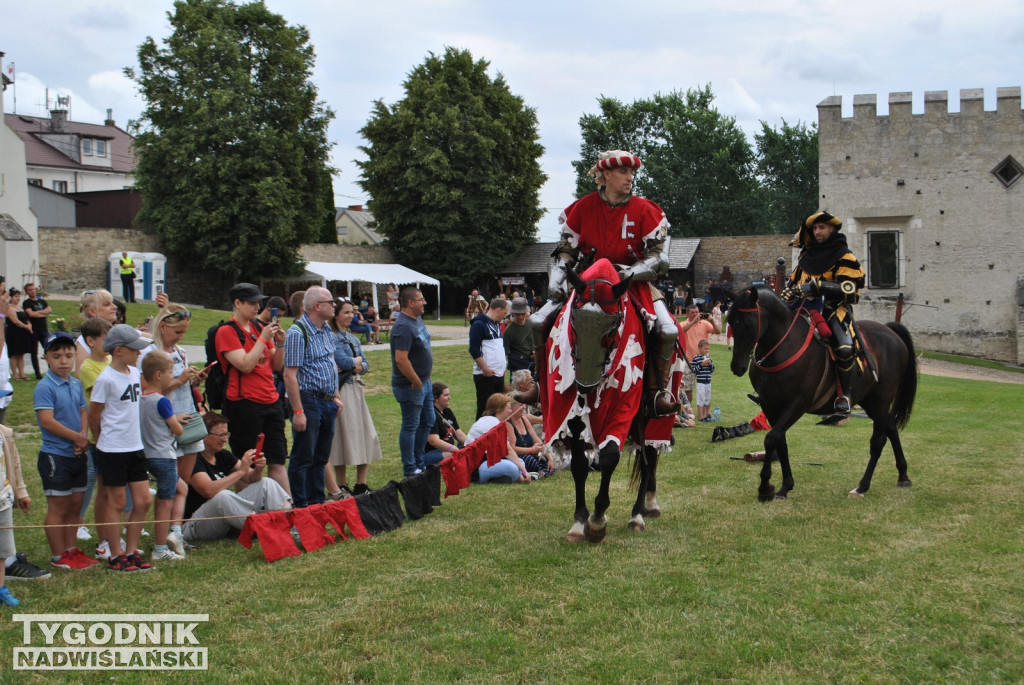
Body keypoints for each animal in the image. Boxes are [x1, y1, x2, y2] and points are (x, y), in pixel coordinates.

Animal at [733, 286, 917, 499]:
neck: (785, 345)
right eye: (730, 321)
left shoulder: (797, 404)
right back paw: (903, 475)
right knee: (892, 428)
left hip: (881, 401)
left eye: (748, 323)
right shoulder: (769, 405)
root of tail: (890, 332)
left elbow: (771, 438)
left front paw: (765, 487)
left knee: (878, 441)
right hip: (870, 402)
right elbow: (780, 441)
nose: (737, 367)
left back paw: (862, 486)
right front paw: (785, 486)